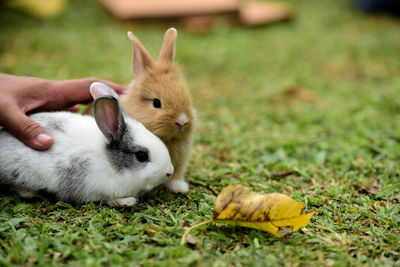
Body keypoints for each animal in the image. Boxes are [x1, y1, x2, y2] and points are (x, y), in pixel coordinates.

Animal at [0, 81, 173, 207]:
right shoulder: (98, 188)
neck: (109, 161)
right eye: (141, 156)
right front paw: (128, 201)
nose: (170, 172)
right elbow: (110, 200)